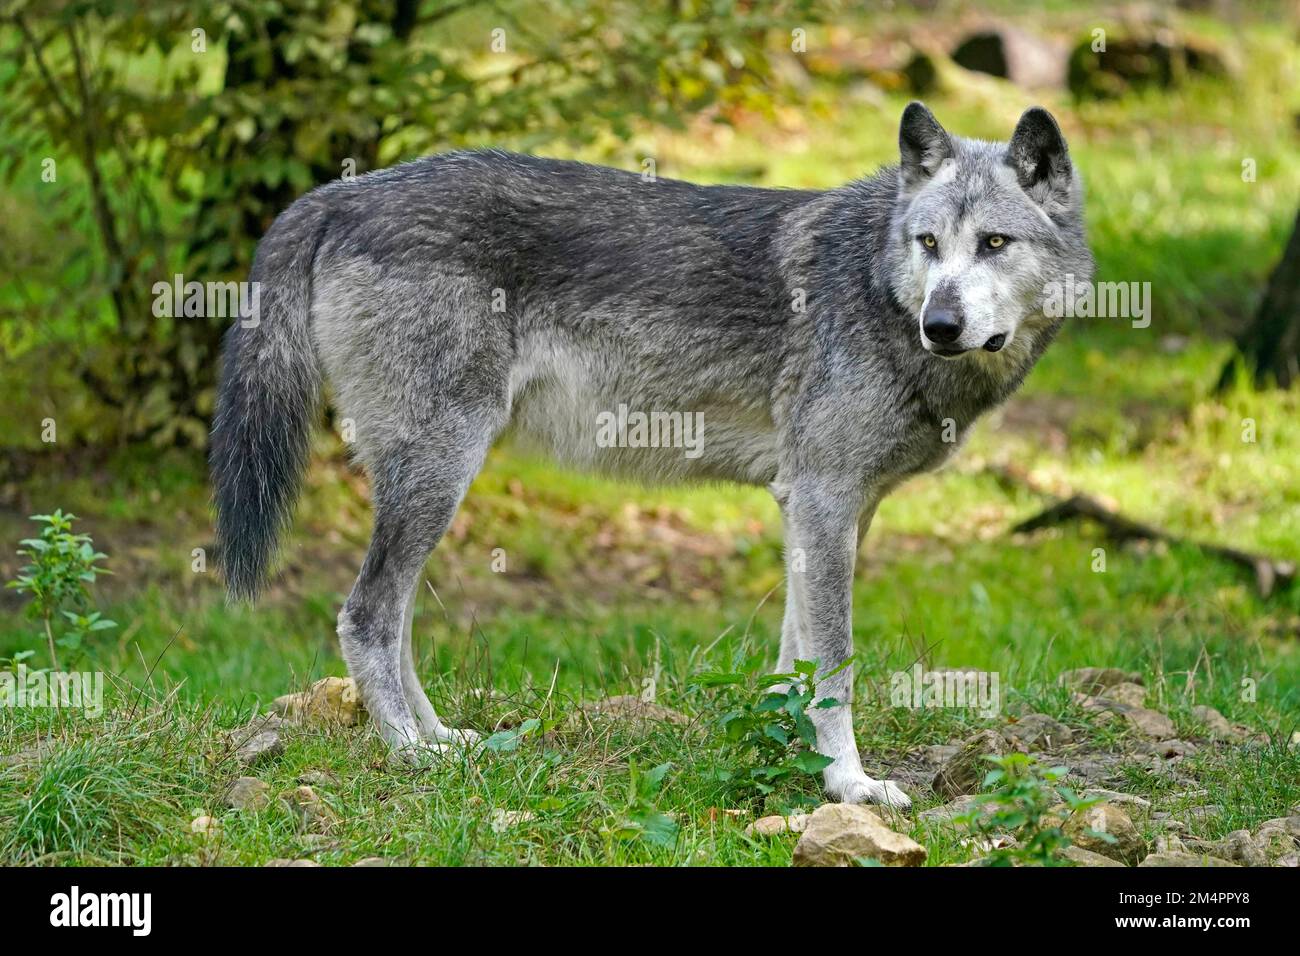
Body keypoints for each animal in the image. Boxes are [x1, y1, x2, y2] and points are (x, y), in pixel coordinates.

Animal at [211, 103, 1092, 808]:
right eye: (929, 242)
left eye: (994, 243)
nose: (940, 324)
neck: (877, 287)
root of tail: (340, 193)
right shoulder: (822, 499)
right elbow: (836, 669)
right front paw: (850, 783)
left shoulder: (824, 510)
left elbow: (795, 661)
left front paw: (789, 760)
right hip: (437, 472)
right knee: (366, 615)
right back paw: (411, 754)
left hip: (431, 481)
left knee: (391, 626)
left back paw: (443, 740)